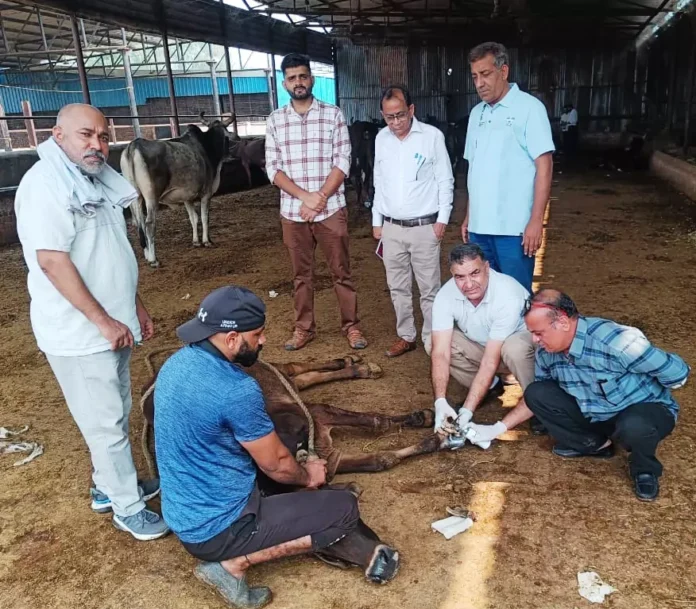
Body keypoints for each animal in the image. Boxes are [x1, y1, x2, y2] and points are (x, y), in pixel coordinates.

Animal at [121, 112, 235, 268]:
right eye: (226, 138)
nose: (229, 156)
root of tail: (134, 145)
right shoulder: (206, 193)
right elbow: (205, 217)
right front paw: (207, 241)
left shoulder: (187, 197)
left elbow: (194, 218)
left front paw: (196, 241)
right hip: (151, 196)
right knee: (149, 224)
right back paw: (154, 259)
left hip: (135, 197)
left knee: (140, 224)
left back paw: (147, 255)